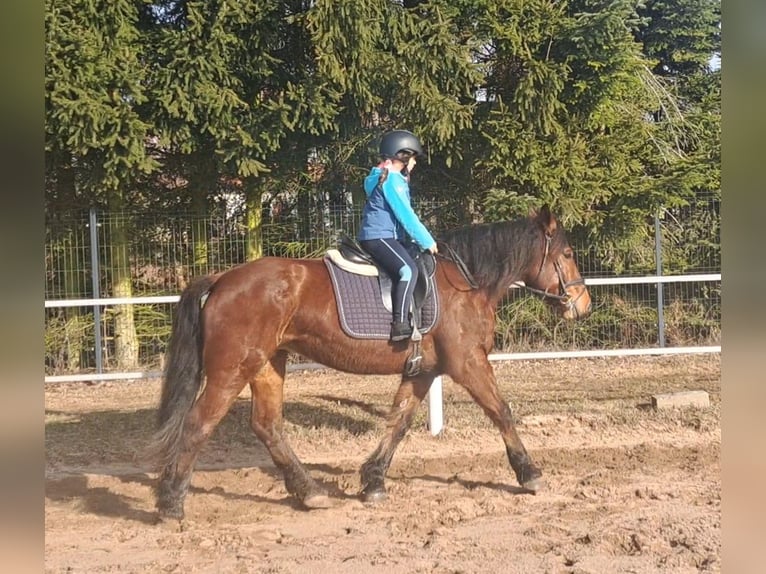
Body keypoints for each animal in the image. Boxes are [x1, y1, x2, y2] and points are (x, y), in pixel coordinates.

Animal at [148, 206, 592, 520]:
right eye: (569, 253)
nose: (583, 304)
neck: (466, 283)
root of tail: (223, 278)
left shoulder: (423, 370)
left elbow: (398, 422)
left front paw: (373, 480)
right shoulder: (468, 363)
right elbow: (501, 411)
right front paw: (529, 474)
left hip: (268, 364)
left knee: (267, 425)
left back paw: (310, 492)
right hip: (233, 369)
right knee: (198, 423)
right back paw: (171, 503)